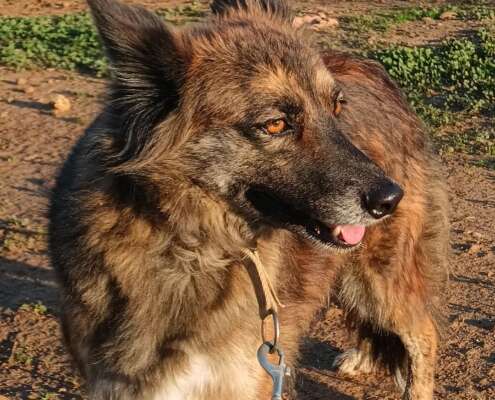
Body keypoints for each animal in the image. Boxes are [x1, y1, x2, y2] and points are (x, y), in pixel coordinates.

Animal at [48, 0, 448, 399]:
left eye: (336, 109)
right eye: (275, 124)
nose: (391, 198)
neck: (187, 247)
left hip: (379, 277)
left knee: (423, 334)